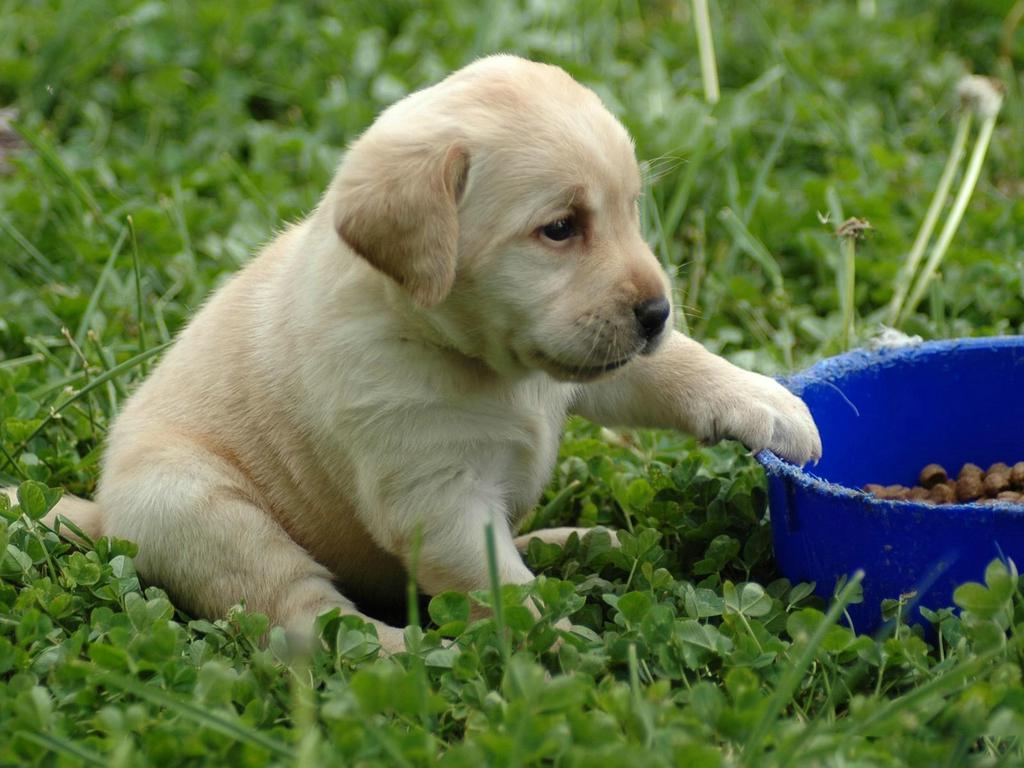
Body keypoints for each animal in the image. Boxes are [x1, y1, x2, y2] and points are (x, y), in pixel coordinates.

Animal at [12, 55, 819, 655]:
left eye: (630, 211)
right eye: (560, 228)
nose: (656, 312)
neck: (475, 357)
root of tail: (105, 513)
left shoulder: (590, 366)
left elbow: (674, 367)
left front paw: (771, 406)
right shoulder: (436, 495)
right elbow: (504, 592)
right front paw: (568, 649)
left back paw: (577, 540)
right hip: (198, 505)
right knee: (304, 619)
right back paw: (404, 653)